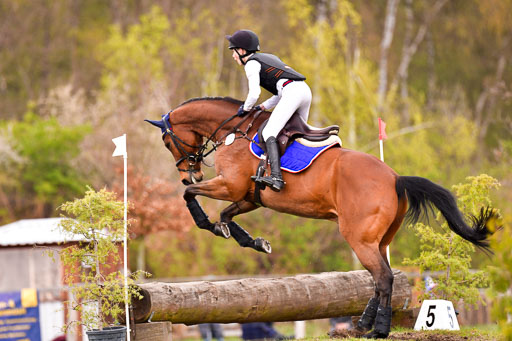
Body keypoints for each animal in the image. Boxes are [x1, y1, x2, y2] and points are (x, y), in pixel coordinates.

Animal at [146, 95, 498, 338]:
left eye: (166, 141)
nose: (189, 174)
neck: (236, 132)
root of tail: (396, 178)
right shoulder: (249, 197)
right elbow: (227, 214)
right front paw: (252, 241)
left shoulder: (230, 186)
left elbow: (192, 198)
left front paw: (207, 222)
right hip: (380, 239)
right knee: (379, 279)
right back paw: (363, 325)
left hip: (359, 238)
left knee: (383, 277)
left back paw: (378, 329)